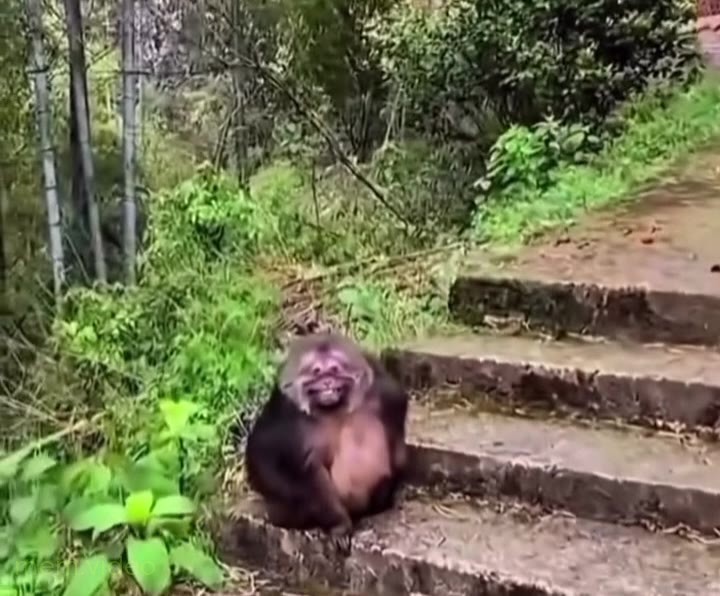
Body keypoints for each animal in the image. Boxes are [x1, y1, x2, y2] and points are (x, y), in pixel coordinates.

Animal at [244, 332, 409, 553]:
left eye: (334, 370)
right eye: (317, 373)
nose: (327, 383)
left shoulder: (384, 389)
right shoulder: (284, 407)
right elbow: (263, 455)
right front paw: (338, 523)